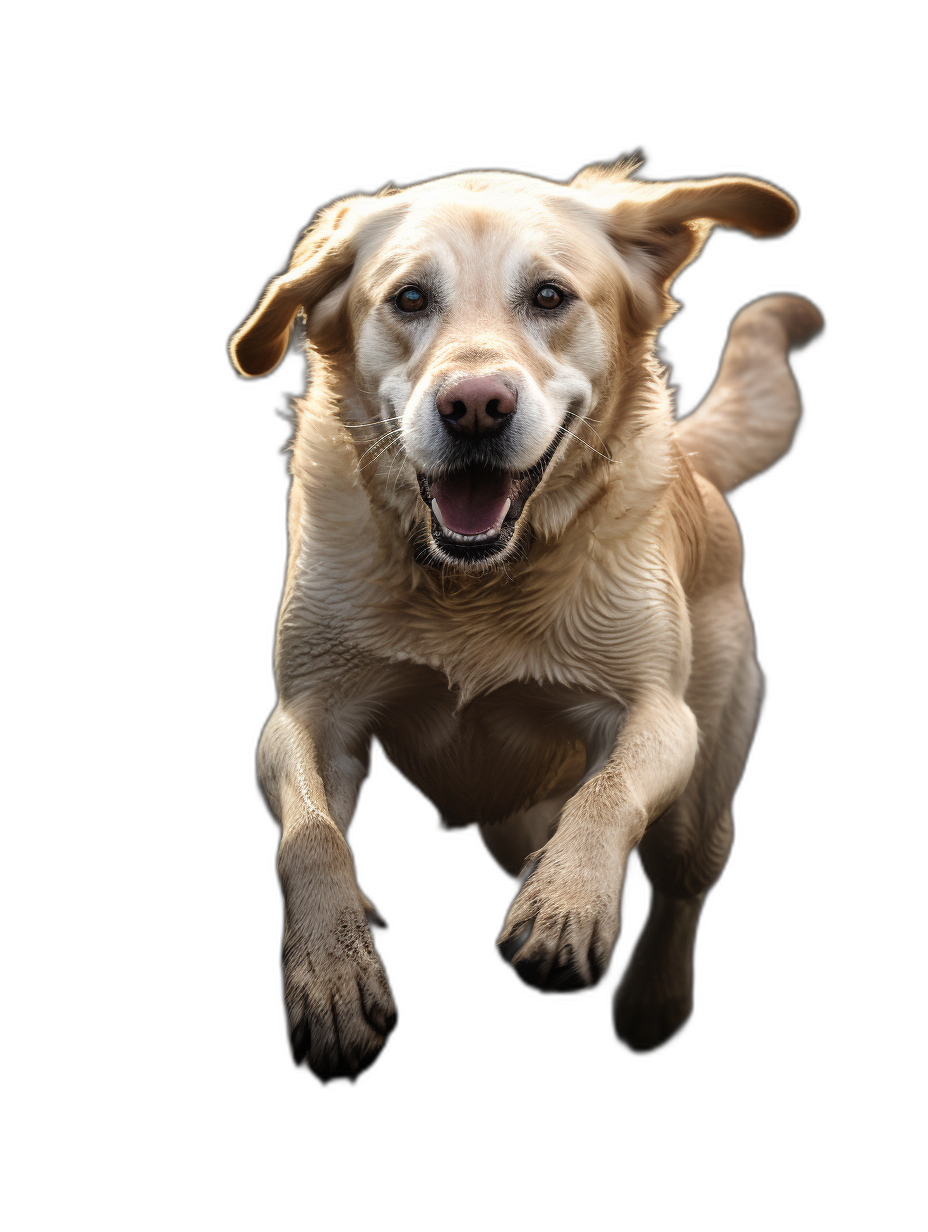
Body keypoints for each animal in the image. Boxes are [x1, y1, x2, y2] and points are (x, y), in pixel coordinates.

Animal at [227, 158, 823, 1084]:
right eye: (408, 298)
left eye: (549, 296)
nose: (476, 404)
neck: (476, 584)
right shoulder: (305, 717)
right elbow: (312, 839)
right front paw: (330, 974)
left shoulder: (661, 717)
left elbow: (609, 794)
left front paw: (569, 905)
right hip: (508, 816)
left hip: (701, 793)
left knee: (683, 882)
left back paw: (652, 1002)